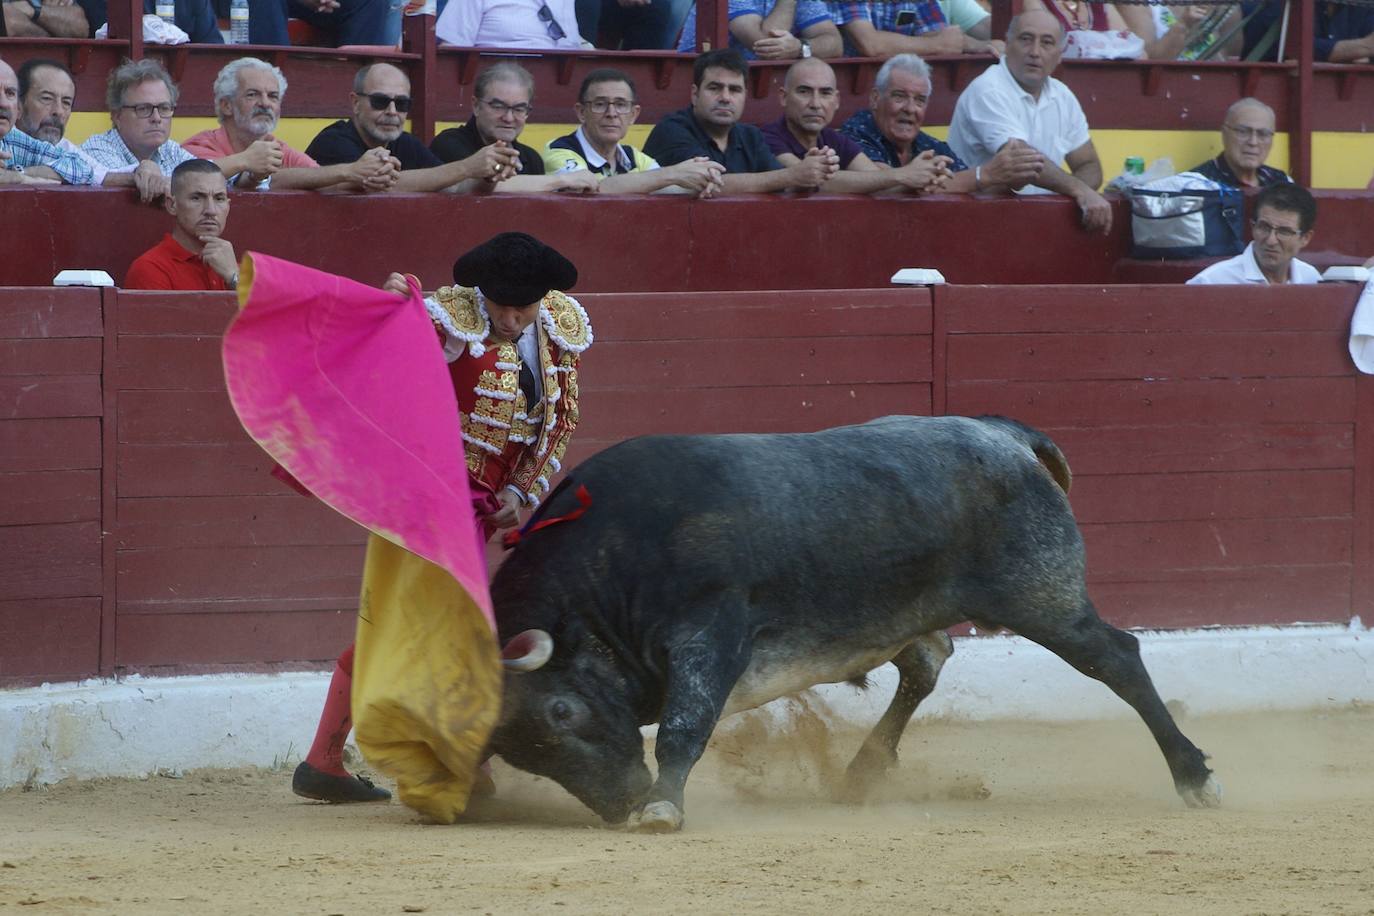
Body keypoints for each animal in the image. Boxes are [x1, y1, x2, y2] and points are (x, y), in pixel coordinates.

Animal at [489, 414, 1220, 829]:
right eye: (515, 750)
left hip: (1042, 598)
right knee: (925, 664)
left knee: (1117, 658)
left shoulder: (708, 635)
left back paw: (1194, 776)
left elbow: (683, 726)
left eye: (561, 712)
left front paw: (664, 806)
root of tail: (1006, 437)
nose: (621, 804)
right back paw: (861, 773)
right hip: (919, 609)